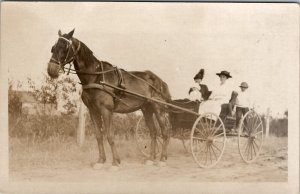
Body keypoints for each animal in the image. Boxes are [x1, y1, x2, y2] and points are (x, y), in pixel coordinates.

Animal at [48, 29, 172, 170]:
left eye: (65, 47)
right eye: (53, 48)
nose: (51, 70)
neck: (96, 77)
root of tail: (160, 81)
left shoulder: (106, 110)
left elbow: (109, 135)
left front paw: (115, 162)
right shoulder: (93, 111)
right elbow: (98, 135)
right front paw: (100, 161)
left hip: (159, 108)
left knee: (165, 132)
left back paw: (162, 159)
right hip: (147, 109)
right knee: (153, 132)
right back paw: (151, 159)